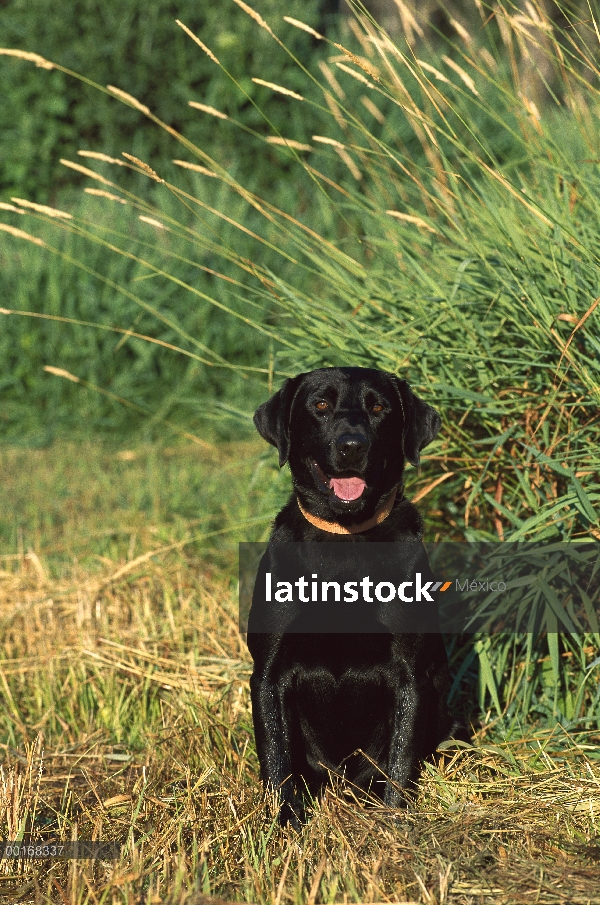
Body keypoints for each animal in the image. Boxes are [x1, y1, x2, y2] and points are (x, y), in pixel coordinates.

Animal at [246, 370, 462, 828]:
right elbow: (276, 758)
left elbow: (401, 761)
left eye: (379, 407)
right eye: (321, 405)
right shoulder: (268, 673)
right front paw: (283, 827)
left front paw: (395, 825)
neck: (344, 540)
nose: (352, 445)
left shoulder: (410, 674)